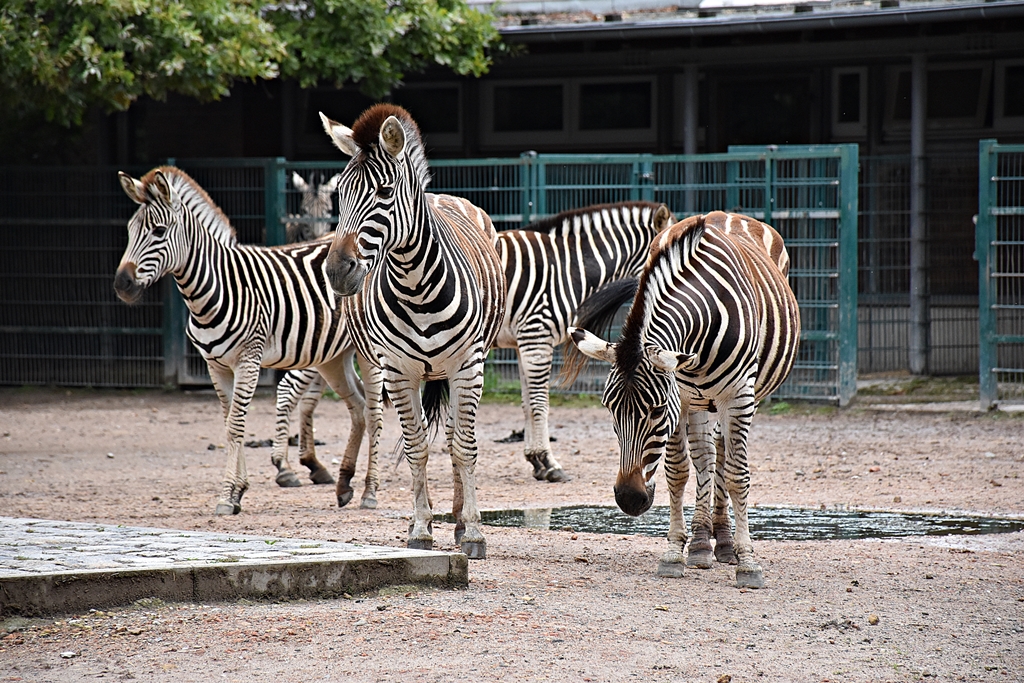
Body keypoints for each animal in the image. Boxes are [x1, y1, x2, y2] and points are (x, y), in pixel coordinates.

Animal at [113, 166, 367, 515]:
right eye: (129, 230)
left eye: (159, 231)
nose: (121, 284)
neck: (216, 288)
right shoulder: (215, 365)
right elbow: (230, 423)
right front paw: (238, 491)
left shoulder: (249, 360)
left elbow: (236, 423)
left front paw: (227, 495)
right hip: (334, 354)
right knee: (359, 406)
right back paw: (345, 484)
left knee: (375, 409)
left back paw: (371, 491)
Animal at [320, 103, 506, 559]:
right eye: (340, 194)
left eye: (384, 192)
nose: (337, 271)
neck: (415, 283)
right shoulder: (398, 371)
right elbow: (415, 446)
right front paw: (420, 528)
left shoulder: (468, 366)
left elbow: (464, 446)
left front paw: (474, 533)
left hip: (462, 368)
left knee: (456, 435)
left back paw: (459, 519)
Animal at [494, 202, 674, 483]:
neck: (569, 268)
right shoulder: (536, 336)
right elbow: (539, 404)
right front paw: (549, 462)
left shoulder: (523, 343)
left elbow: (526, 404)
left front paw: (536, 461)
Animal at [569, 211, 800, 588]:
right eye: (610, 409)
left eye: (656, 410)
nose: (629, 500)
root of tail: (730, 214)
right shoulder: (682, 397)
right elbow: (677, 472)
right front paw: (674, 553)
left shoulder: (738, 396)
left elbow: (738, 476)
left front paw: (748, 563)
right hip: (701, 403)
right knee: (707, 456)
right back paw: (704, 543)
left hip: (740, 398)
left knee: (722, 457)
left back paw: (724, 543)